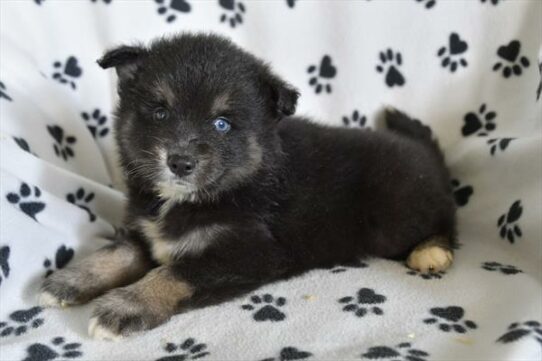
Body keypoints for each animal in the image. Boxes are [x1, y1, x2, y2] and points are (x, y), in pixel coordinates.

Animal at [39, 32, 460, 338]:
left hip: (397, 211)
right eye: (160, 113)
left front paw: (126, 306)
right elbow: (117, 253)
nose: (180, 162)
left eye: (222, 124)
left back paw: (432, 251)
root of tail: (423, 154)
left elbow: (175, 272)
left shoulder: (250, 253)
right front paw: (69, 281)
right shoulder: (145, 231)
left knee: (445, 215)